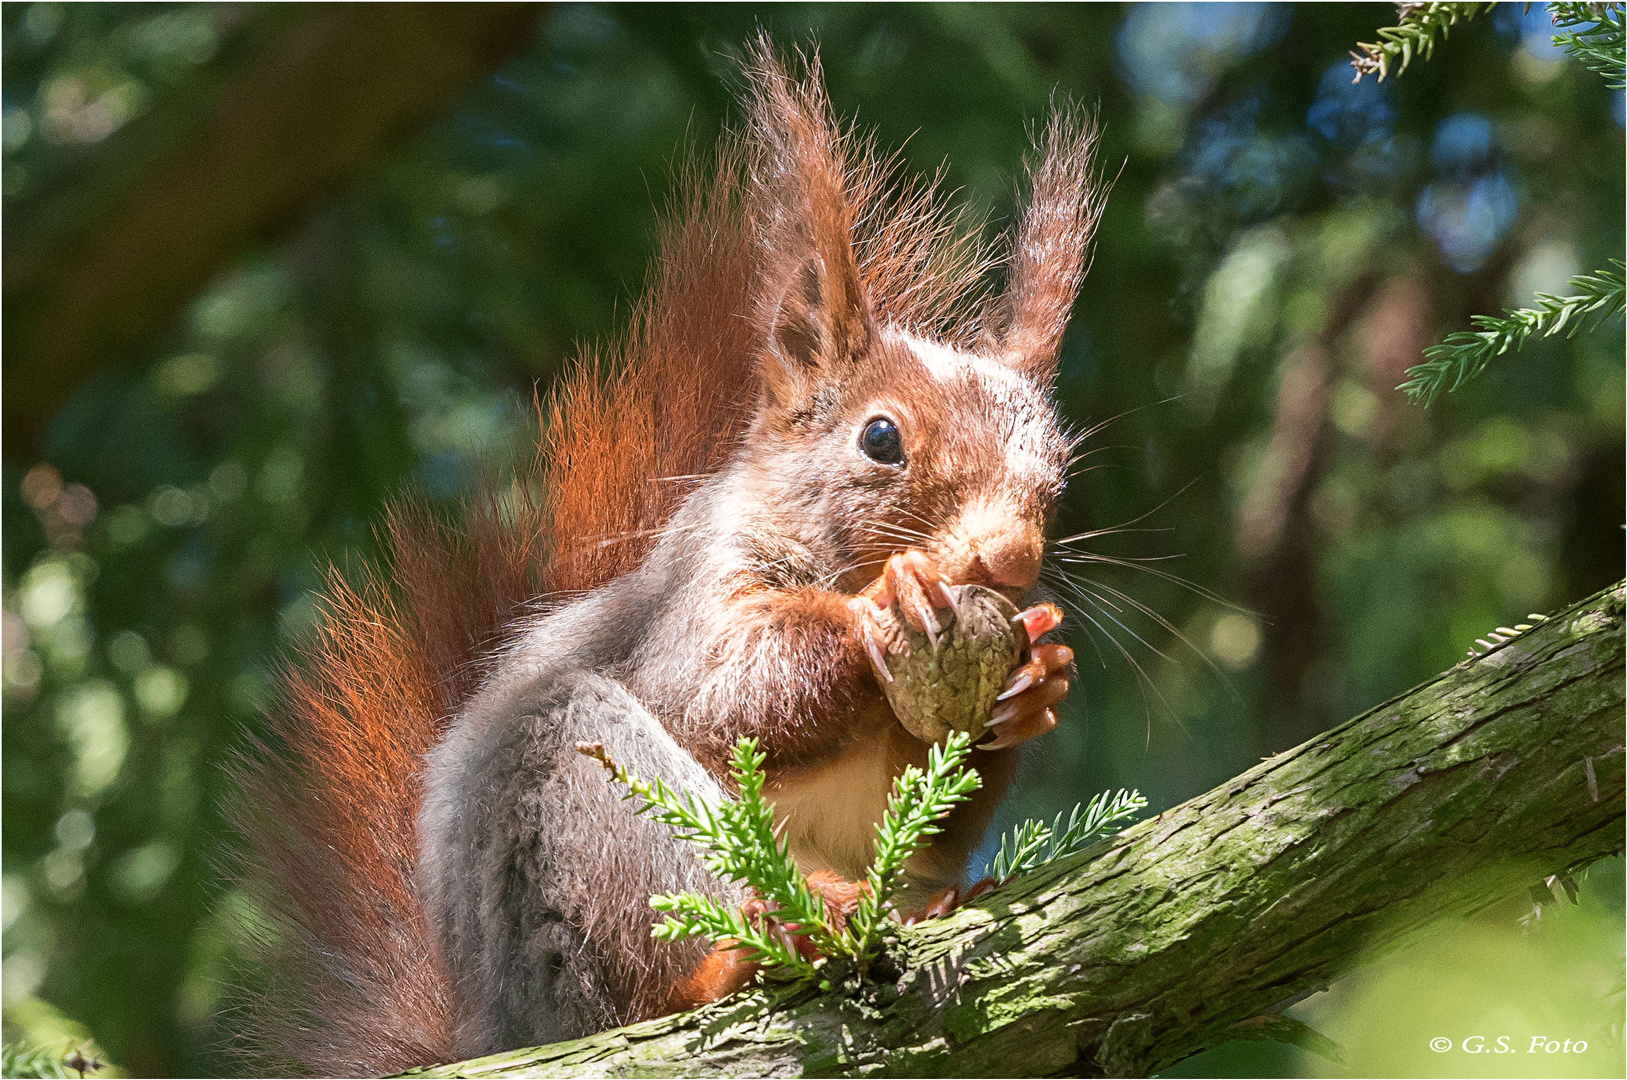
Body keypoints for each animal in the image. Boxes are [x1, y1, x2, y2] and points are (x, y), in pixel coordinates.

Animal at [232, 42, 1106, 1080]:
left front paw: (1041, 676)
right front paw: (878, 613)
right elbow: (722, 690)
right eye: (880, 437)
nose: (1010, 560)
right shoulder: (690, 597)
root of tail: (500, 1023)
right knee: (643, 958)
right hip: (577, 820)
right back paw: (754, 949)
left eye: (1059, 473)